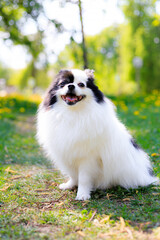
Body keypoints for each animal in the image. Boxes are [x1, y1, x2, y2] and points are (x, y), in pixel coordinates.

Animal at [36, 68, 159, 200]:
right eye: (63, 84)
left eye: (81, 84)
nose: (71, 86)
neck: (73, 113)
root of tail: (147, 176)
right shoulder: (68, 153)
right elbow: (73, 175)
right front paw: (70, 185)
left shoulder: (87, 158)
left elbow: (83, 178)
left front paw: (82, 194)